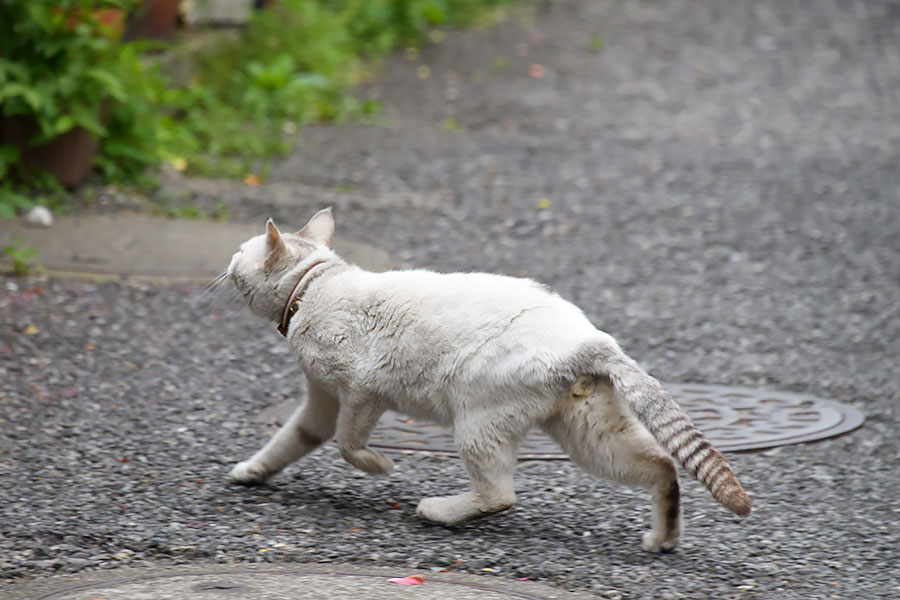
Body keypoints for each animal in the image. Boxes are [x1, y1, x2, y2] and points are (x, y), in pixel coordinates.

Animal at [225, 209, 752, 552]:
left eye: (239, 251)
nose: (227, 262)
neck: (312, 287)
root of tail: (587, 336)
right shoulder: (321, 400)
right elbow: (291, 440)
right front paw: (252, 471)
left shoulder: (361, 391)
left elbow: (347, 444)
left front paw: (379, 466)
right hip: (589, 434)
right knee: (662, 466)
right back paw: (663, 538)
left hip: (477, 419)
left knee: (500, 494)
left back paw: (437, 511)